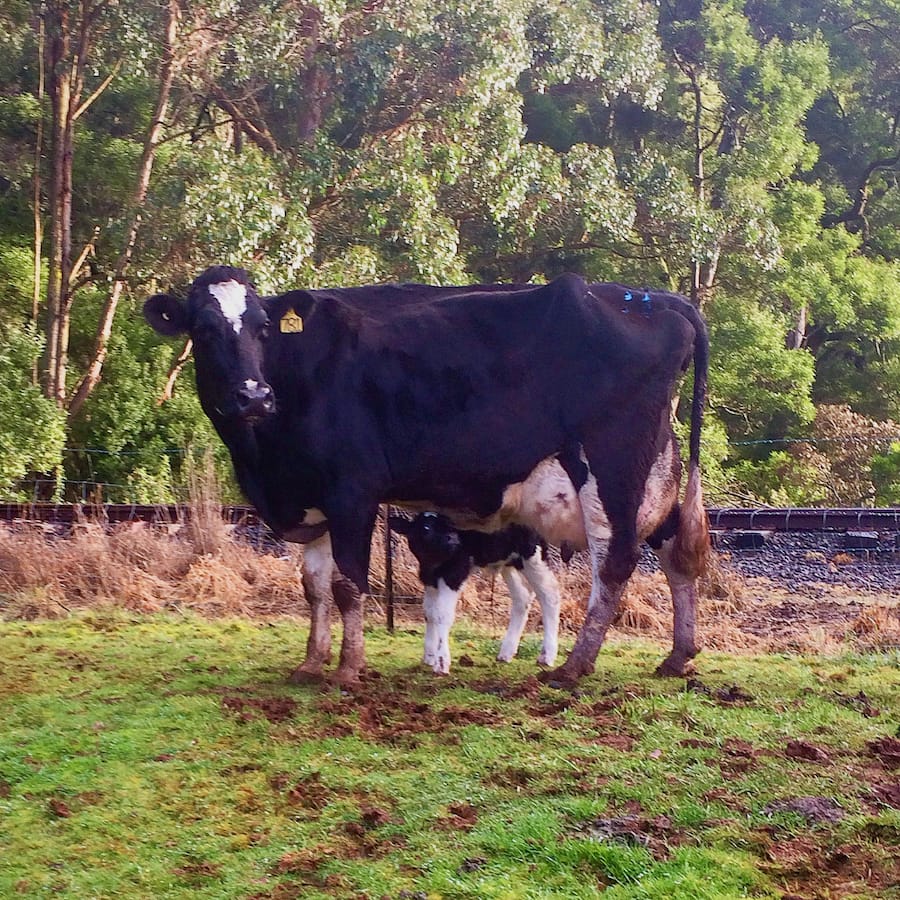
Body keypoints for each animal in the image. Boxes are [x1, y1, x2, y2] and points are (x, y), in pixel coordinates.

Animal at [390, 512, 560, 676]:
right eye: (426, 528)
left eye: (450, 526)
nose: (453, 540)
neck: (432, 565)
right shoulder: (429, 578)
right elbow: (429, 613)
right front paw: (429, 656)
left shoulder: (455, 573)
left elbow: (442, 614)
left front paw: (441, 662)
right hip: (509, 561)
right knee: (522, 597)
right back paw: (506, 653)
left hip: (533, 555)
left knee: (550, 594)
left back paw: (547, 656)